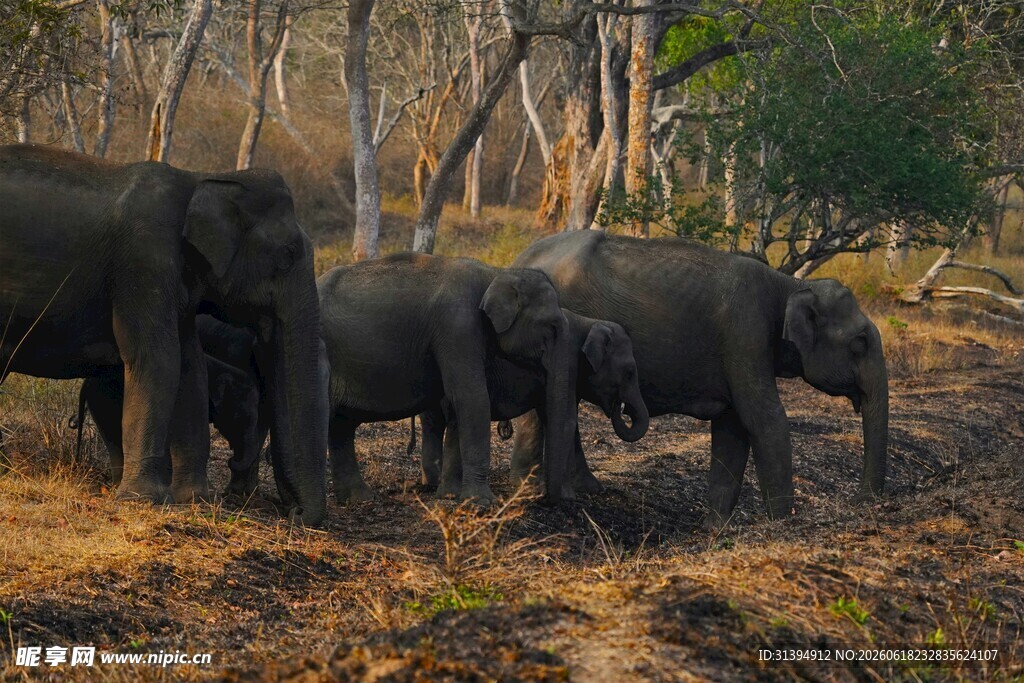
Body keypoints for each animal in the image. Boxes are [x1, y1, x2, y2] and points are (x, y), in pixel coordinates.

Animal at [0, 144, 326, 524]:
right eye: (288, 254)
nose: (295, 513)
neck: (202, 179)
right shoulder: (144, 262)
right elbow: (157, 359)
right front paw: (142, 500)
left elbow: (190, 368)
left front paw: (196, 499)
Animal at [317, 253, 577, 506]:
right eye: (551, 326)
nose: (546, 499)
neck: (496, 272)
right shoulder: (458, 327)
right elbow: (472, 398)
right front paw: (482, 503)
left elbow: (456, 406)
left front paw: (450, 496)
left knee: (341, 424)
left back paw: (358, 498)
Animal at [416, 308, 649, 495]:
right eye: (630, 372)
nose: (622, 408)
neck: (590, 322)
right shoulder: (567, 362)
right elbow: (566, 421)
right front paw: (568, 496)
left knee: (441, 421)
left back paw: (435, 485)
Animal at [513, 231, 889, 527]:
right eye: (859, 342)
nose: (862, 501)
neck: (790, 284)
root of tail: (522, 257)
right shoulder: (745, 334)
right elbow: (764, 419)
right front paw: (781, 523)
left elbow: (732, 428)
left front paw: (715, 528)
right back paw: (531, 489)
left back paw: (581, 489)